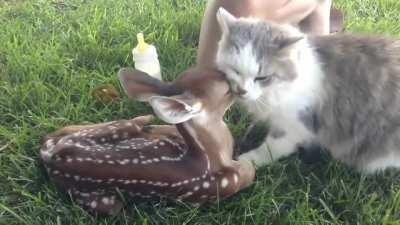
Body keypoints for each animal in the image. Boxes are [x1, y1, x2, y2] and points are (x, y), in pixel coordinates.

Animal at [216, 6, 400, 172]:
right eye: (235, 70)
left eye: (262, 78)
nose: (241, 91)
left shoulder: (296, 126)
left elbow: (270, 149)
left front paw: (248, 161)